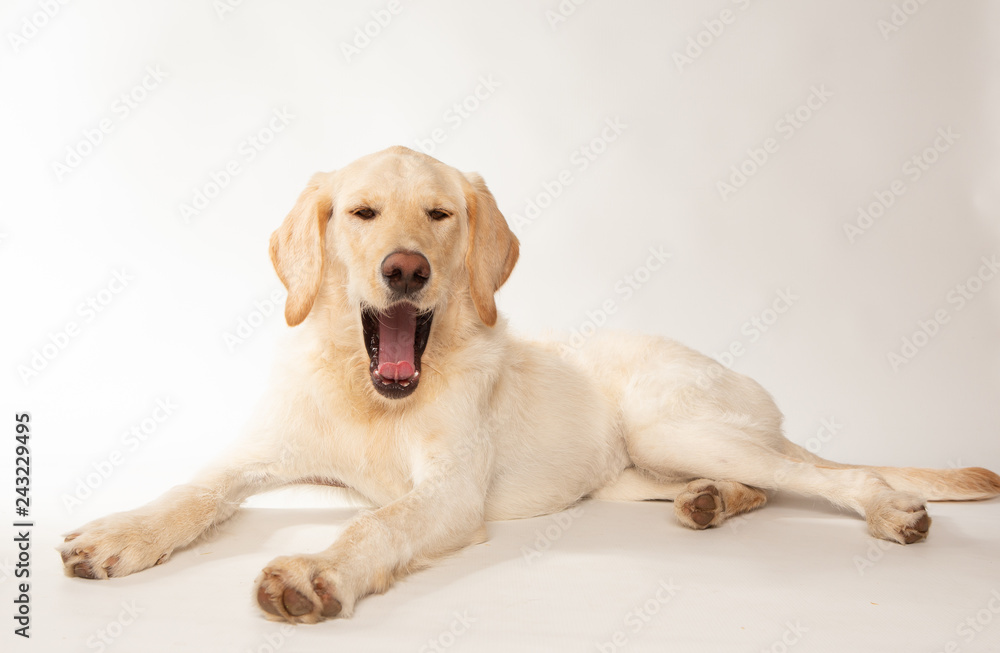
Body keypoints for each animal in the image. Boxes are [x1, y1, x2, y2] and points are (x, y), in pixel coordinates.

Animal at [56, 146, 1000, 620]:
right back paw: (709, 501)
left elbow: (377, 523)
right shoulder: (256, 452)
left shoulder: (449, 492)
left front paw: (319, 569)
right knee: (761, 484)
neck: (372, 395)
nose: (406, 270)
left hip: (672, 423)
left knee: (824, 472)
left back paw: (889, 508)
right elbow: (190, 491)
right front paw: (120, 532)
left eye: (439, 214)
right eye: (362, 213)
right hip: (636, 470)